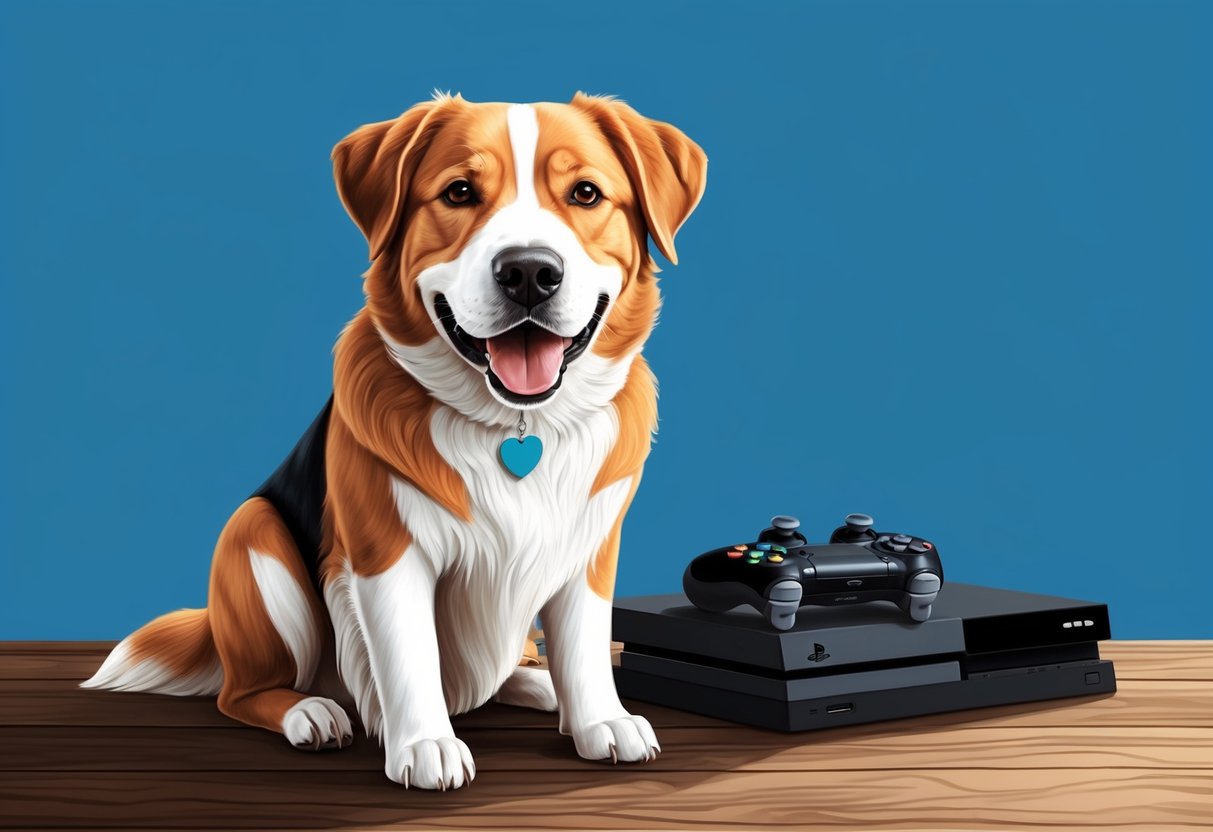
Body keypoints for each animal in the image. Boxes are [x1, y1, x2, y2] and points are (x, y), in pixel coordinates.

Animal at [85, 94, 708, 790]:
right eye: (459, 192)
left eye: (586, 193)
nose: (529, 271)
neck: (515, 428)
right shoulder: (386, 552)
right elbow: (411, 657)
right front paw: (425, 744)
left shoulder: (591, 550)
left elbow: (584, 644)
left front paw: (602, 720)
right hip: (254, 536)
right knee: (242, 693)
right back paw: (311, 712)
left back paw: (536, 683)